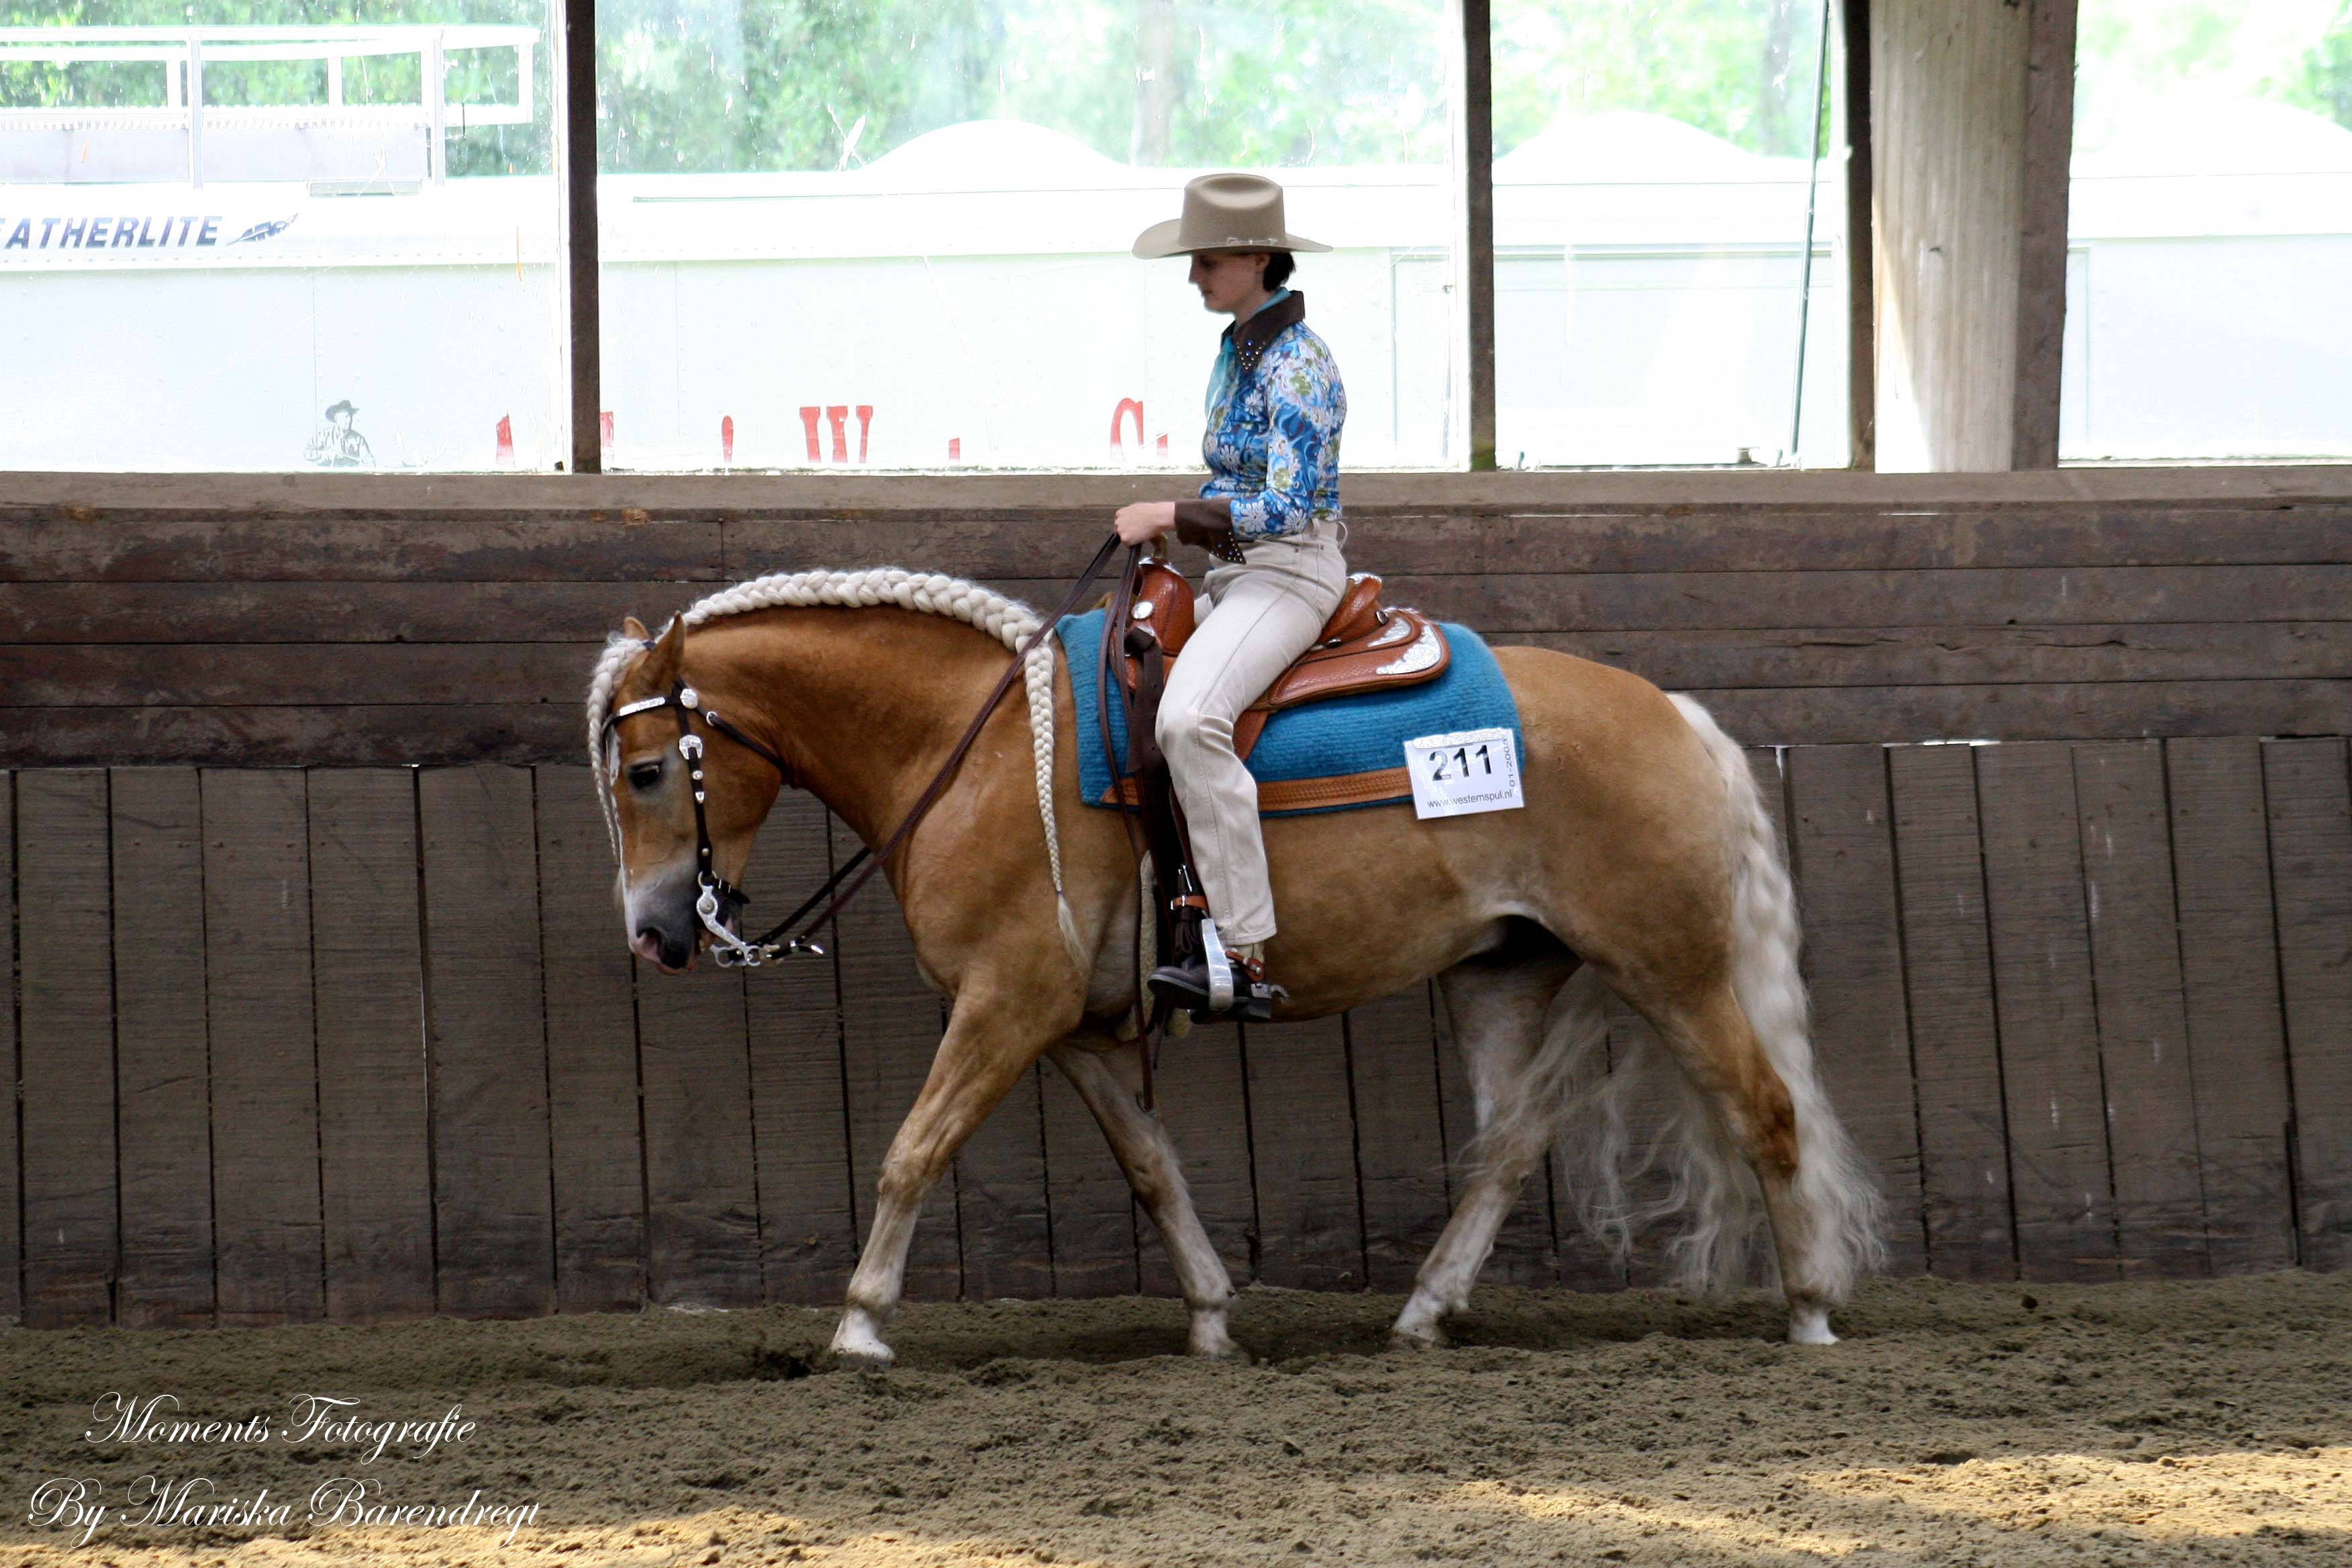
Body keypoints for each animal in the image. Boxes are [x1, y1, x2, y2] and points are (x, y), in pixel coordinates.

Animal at [587, 565, 1885, 1367]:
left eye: (647, 771)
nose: (653, 934)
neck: (982, 746)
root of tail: (1676, 716)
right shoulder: (1065, 1024)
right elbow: (1152, 1167)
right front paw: (1211, 1316)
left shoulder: (1004, 1008)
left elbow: (913, 1149)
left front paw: (859, 1325)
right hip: (1505, 975)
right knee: (1511, 1145)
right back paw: (1422, 1310)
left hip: (1674, 971)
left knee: (1766, 1114)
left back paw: (1810, 1312)